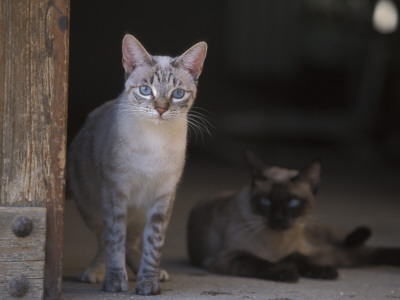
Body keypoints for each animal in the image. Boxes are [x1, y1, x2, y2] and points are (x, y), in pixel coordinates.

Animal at [67, 34, 208, 294]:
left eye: (177, 94)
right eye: (145, 90)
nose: (161, 109)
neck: (154, 142)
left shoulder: (163, 196)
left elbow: (153, 245)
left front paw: (148, 283)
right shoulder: (115, 192)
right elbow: (114, 242)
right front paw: (115, 282)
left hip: (140, 213)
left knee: (132, 242)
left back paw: (153, 273)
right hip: (92, 206)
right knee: (104, 239)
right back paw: (96, 272)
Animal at [188, 151, 400, 282]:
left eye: (292, 202)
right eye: (265, 201)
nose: (278, 219)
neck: (279, 244)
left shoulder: (294, 252)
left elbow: (302, 259)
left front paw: (323, 271)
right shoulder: (229, 257)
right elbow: (261, 262)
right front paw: (286, 272)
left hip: (331, 246)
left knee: (361, 247)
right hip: (338, 255)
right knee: (364, 253)